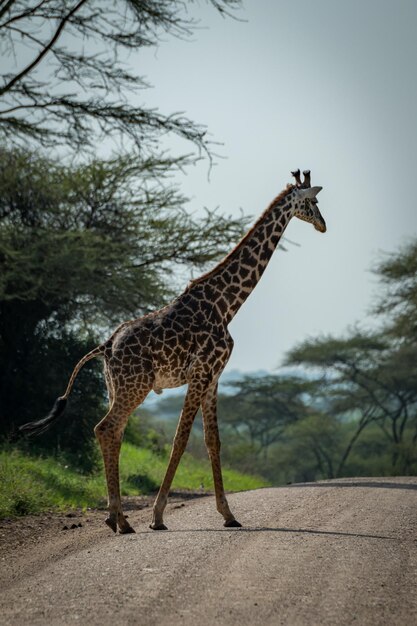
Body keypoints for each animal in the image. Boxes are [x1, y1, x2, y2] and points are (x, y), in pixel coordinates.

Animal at [19, 169, 324, 532]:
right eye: (313, 202)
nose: (323, 225)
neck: (226, 305)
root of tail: (105, 346)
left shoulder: (214, 377)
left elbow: (212, 441)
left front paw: (228, 515)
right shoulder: (201, 373)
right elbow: (180, 439)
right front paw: (158, 516)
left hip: (115, 387)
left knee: (114, 432)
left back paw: (117, 518)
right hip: (135, 386)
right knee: (106, 428)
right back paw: (120, 520)